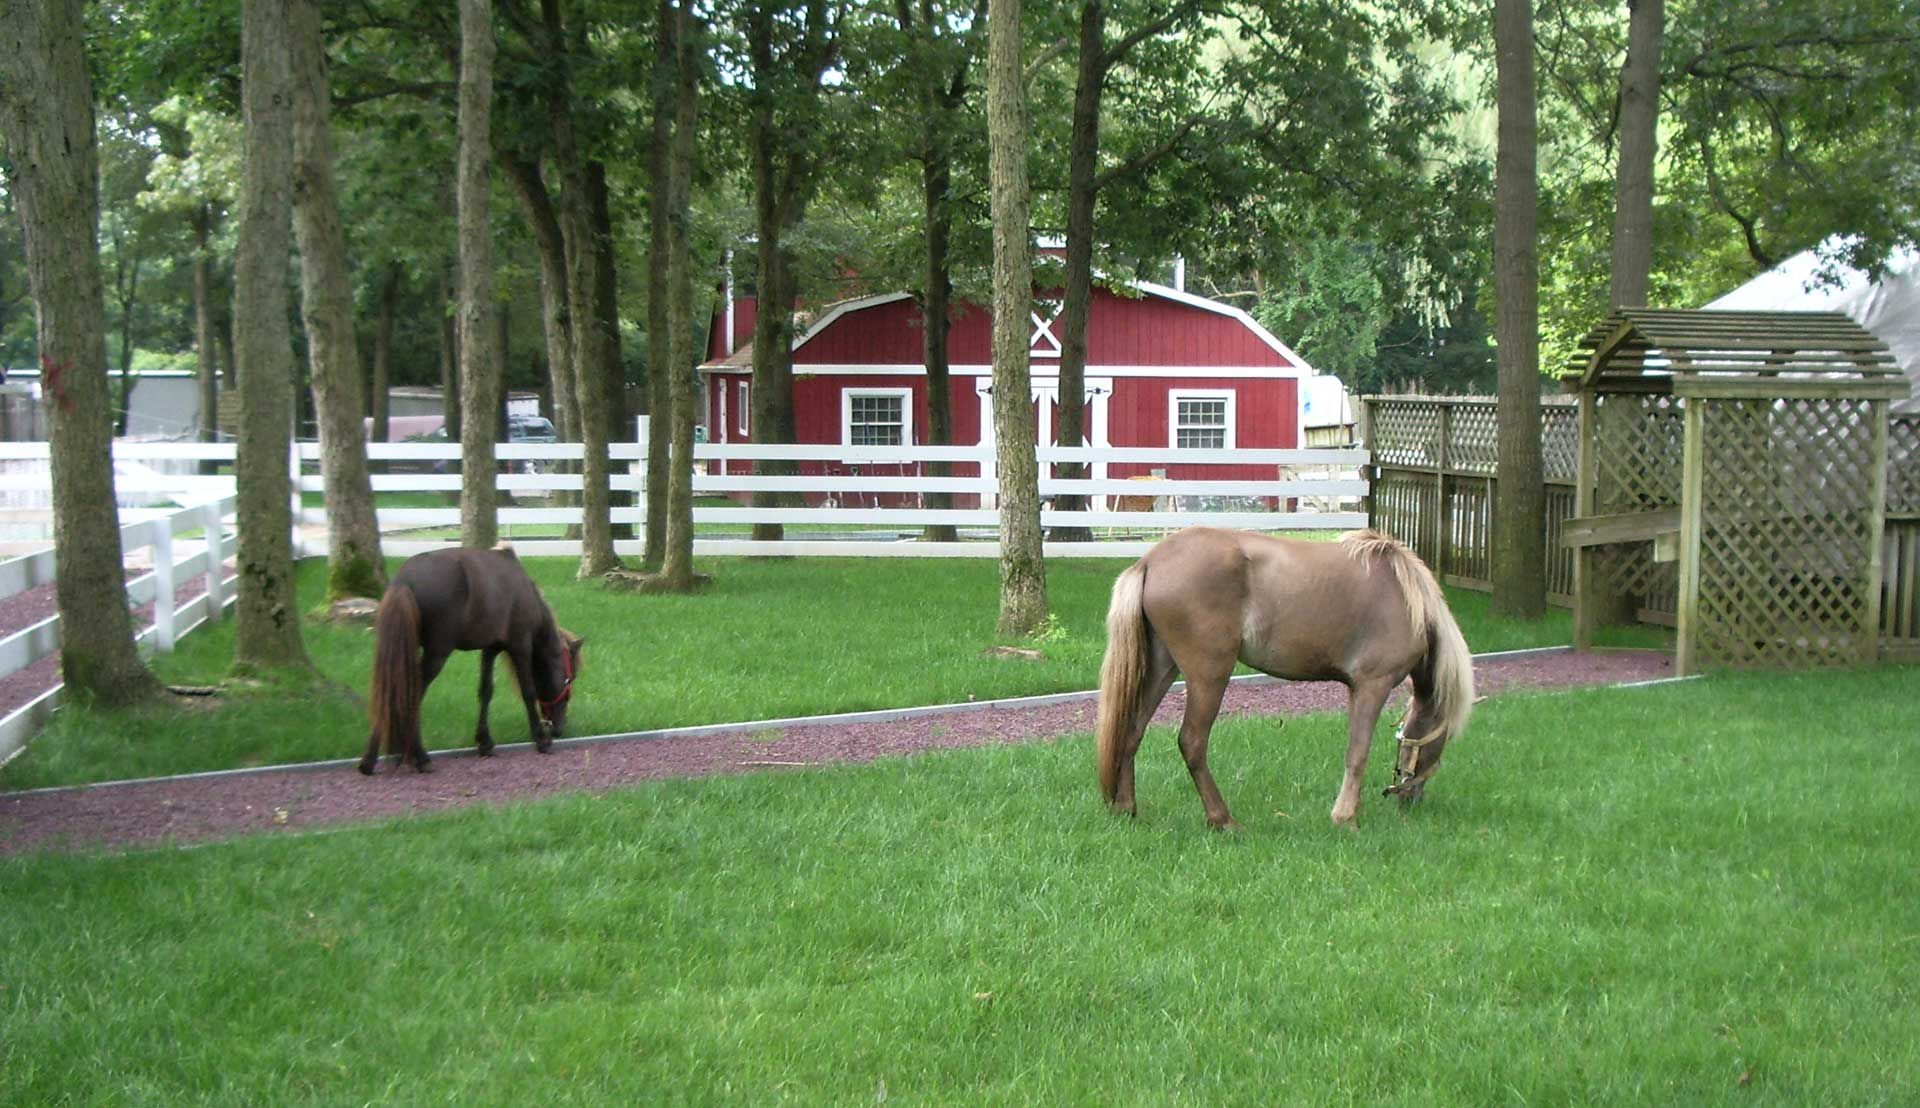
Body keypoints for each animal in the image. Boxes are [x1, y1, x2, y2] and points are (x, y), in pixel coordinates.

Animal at [359, 545, 584, 775]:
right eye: (570, 679)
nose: (559, 728)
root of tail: (404, 580)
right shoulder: (520, 645)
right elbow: (528, 691)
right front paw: (540, 739)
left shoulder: (490, 649)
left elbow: (485, 691)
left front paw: (484, 742)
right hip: (436, 654)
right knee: (412, 693)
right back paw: (420, 757)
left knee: (390, 691)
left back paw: (369, 760)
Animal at [1093, 526, 1474, 829]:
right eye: (1443, 739)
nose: (1411, 798)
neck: (1404, 597)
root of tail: (1150, 561)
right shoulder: (1371, 686)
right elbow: (1358, 753)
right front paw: (1346, 817)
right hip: (1208, 675)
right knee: (1192, 743)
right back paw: (1222, 819)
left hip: (1162, 667)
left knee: (1132, 731)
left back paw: (1127, 808)